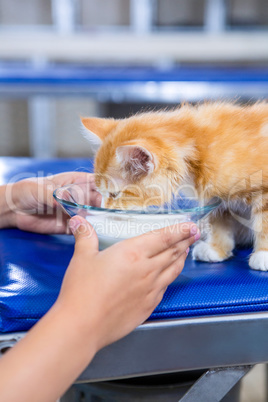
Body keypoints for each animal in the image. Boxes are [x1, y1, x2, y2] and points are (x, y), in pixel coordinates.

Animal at [81, 100, 268, 272]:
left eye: (115, 194)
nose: (104, 209)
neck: (196, 150)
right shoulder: (216, 199)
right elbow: (219, 222)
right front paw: (216, 249)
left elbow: (263, 222)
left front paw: (263, 254)